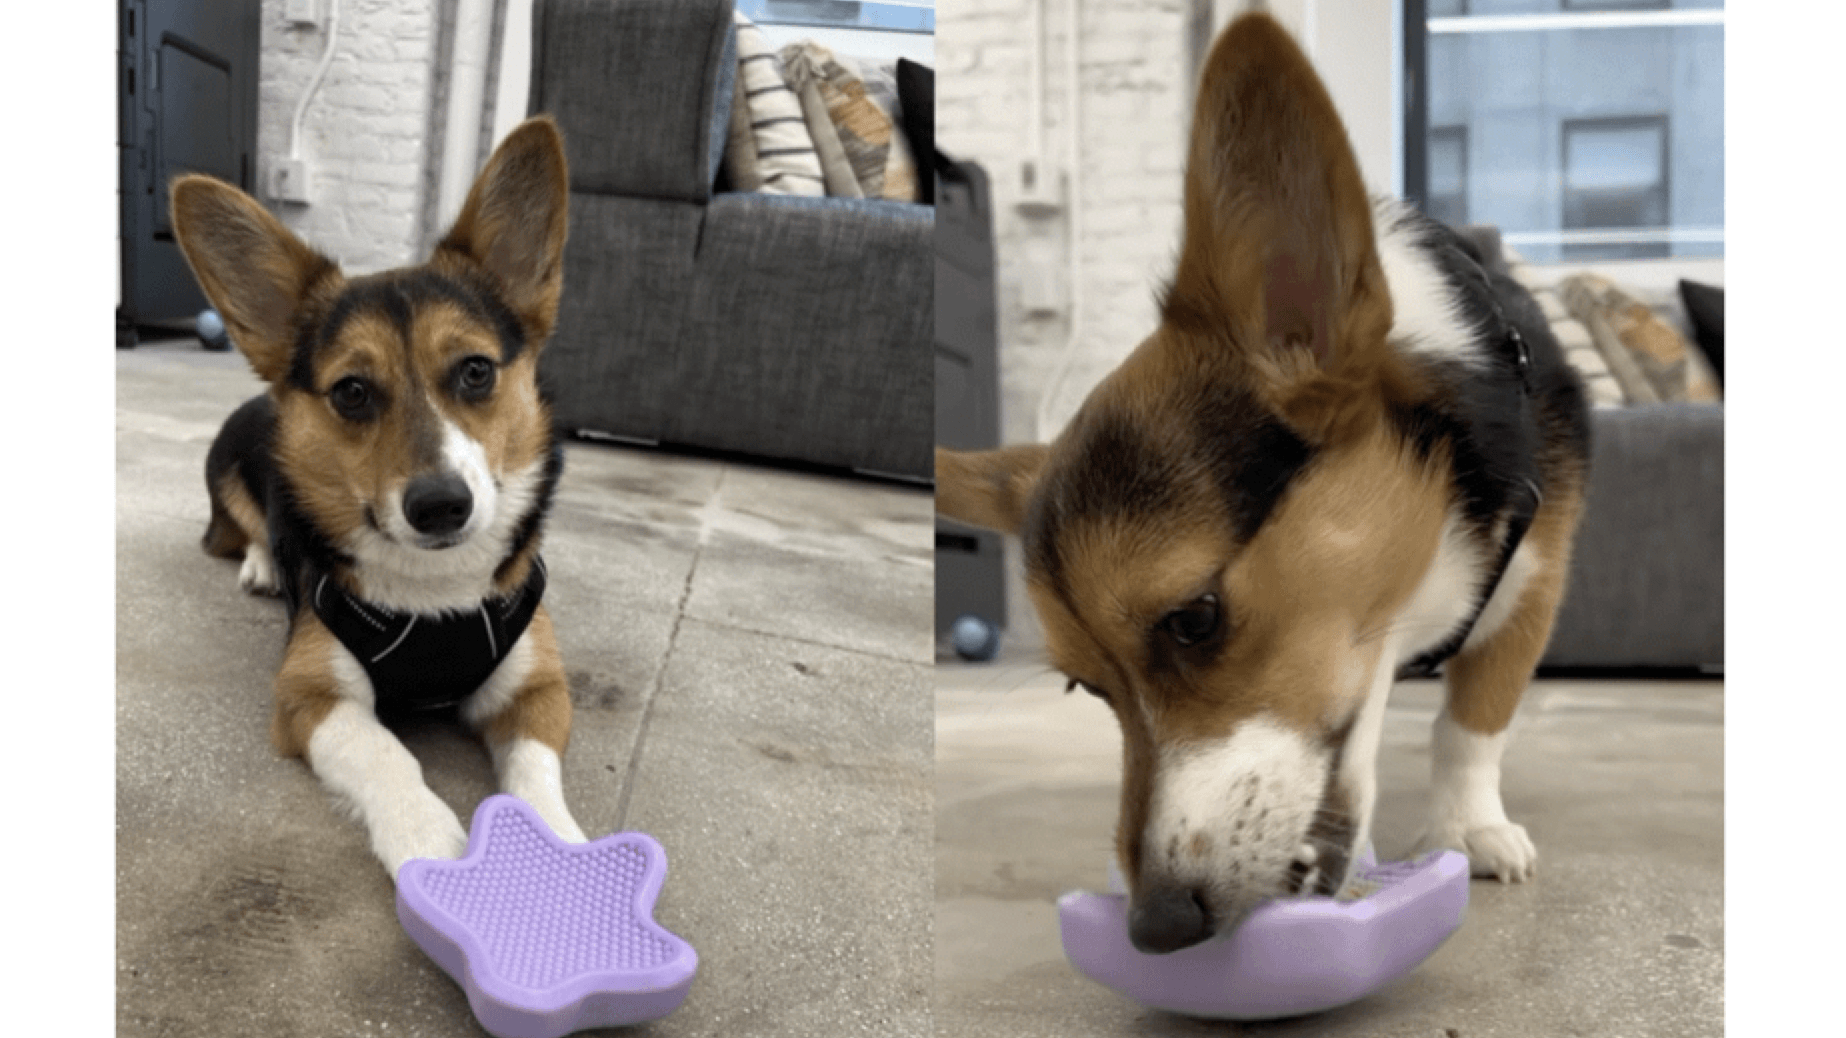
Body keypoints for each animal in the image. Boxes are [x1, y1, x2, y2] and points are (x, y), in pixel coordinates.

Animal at [172, 114, 587, 871]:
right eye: (352, 392)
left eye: (476, 371)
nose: (441, 506)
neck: (436, 594)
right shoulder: (310, 697)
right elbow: (387, 753)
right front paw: (428, 842)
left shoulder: (539, 689)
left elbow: (536, 770)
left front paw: (562, 846)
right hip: (230, 478)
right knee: (246, 530)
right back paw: (262, 565)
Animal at [937, 14, 1587, 953]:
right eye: (1084, 687)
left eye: (1195, 618)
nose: (1157, 928)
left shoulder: (1535, 578)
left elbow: (1474, 720)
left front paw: (1469, 828)